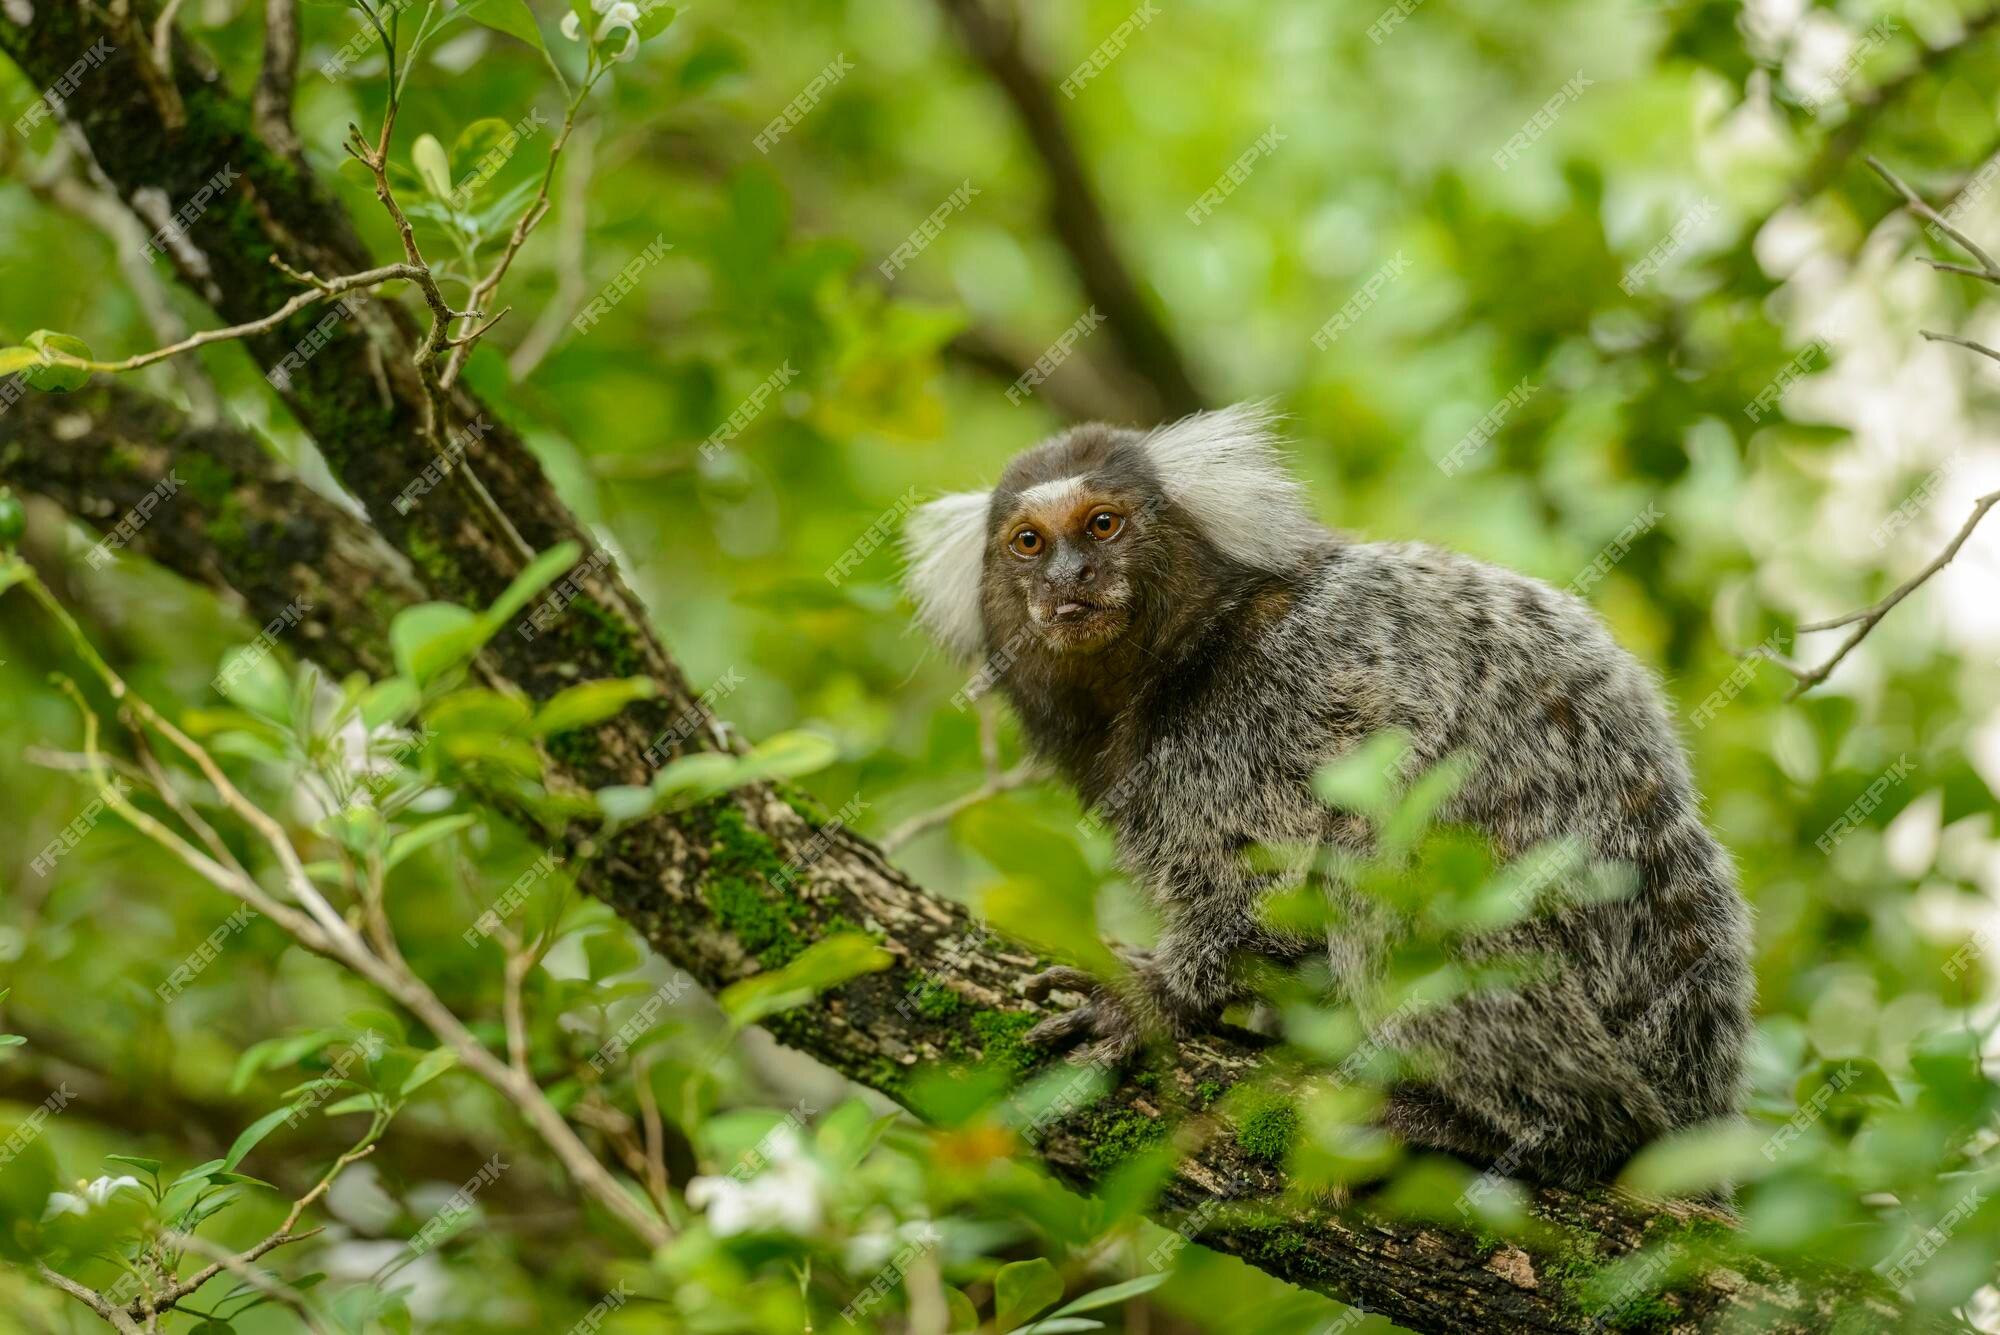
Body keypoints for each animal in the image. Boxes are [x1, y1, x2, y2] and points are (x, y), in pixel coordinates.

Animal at [908, 403, 1752, 1175]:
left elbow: (1282, 875)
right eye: (1028, 542)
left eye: (1103, 524)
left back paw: (1545, 1130)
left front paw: (1158, 994)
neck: (1184, 654)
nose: (1067, 579)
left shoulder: (1279, 699)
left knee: (1388, 881)